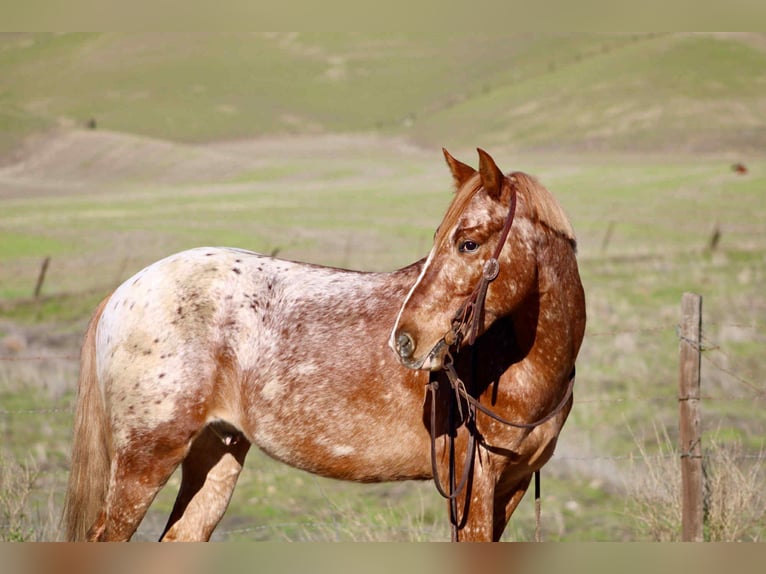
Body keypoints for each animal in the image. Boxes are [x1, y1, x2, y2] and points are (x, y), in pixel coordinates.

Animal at [63, 148, 585, 542]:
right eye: (445, 239)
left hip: (215, 455)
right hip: (144, 461)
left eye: (469, 243)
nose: (406, 339)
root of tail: (124, 291)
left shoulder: (509, 488)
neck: (515, 364)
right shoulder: (472, 489)